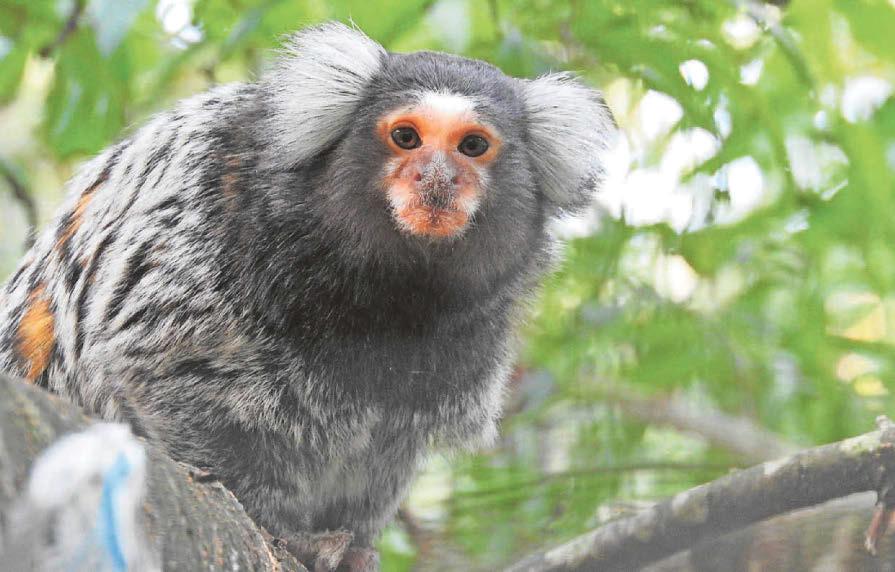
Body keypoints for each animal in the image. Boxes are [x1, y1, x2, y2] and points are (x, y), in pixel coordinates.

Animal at [0, 22, 615, 571]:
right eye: (406, 137)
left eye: (473, 145)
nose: (436, 177)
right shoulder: (199, 216)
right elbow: (158, 369)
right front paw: (280, 526)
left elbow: (388, 438)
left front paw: (354, 544)